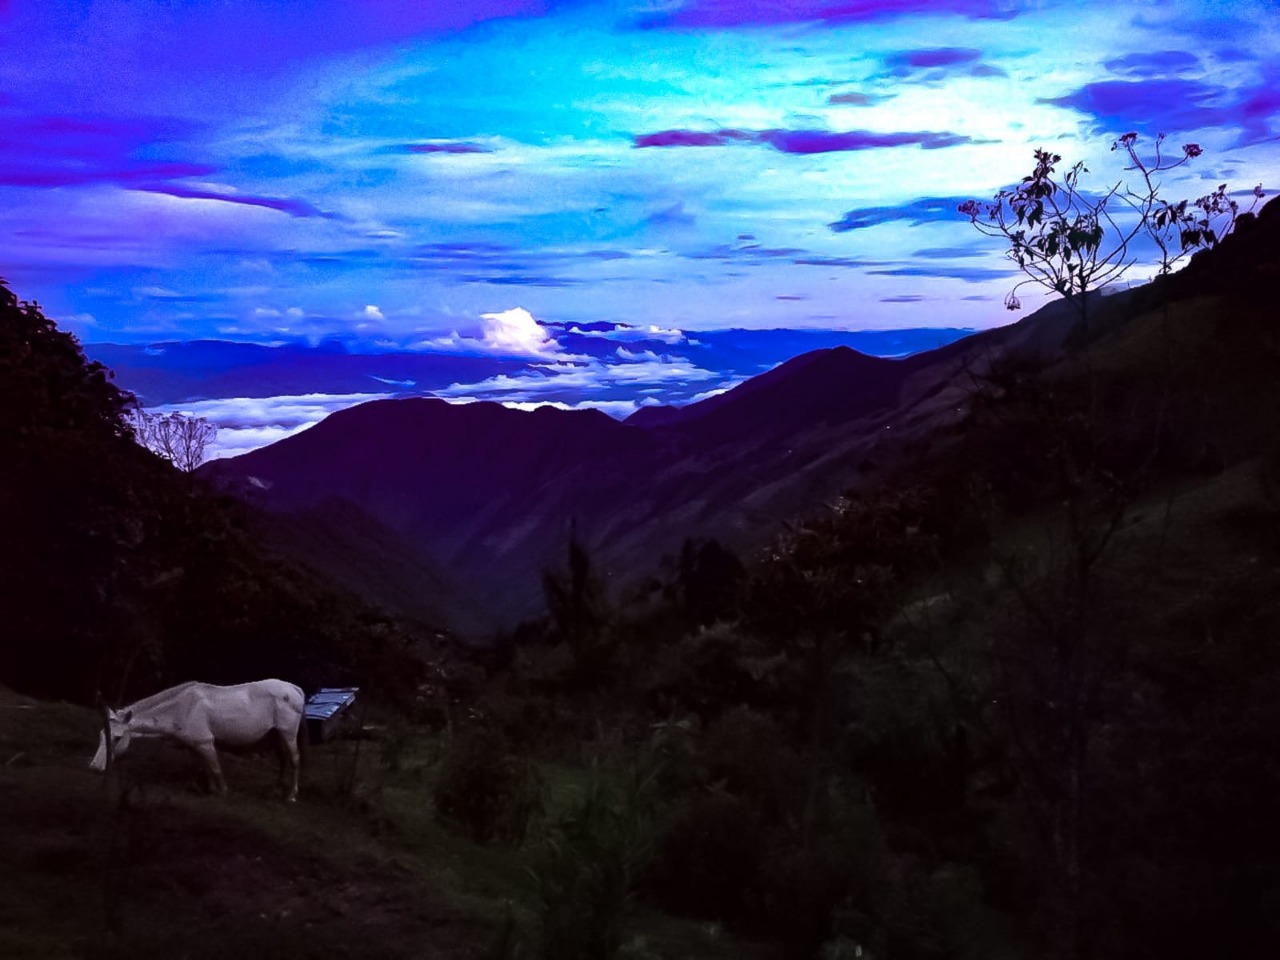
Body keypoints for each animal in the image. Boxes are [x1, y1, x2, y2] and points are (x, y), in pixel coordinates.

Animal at [89, 686, 304, 803]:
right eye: (101, 734)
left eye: (117, 737)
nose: (95, 767)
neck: (181, 708)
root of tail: (295, 689)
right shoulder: (197, 745)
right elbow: (207, 767)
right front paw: (210, 790)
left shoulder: (205, 741)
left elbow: (215, 768)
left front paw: (222, 792)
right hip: (275, 734)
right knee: (283, 759)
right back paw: (277, 789)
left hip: (287, 733)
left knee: (294, 759)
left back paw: (291, 795)